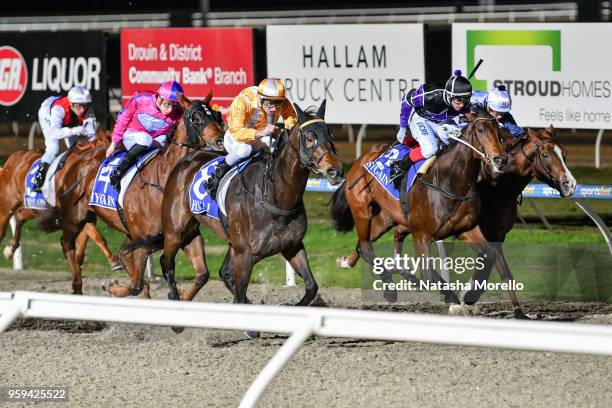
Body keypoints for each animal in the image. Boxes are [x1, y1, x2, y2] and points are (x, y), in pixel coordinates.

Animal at [0, 139, 120, 272]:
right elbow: (96, 237)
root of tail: (13, 158)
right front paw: (114, 261)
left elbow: (86, 241)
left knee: (20, 215)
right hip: (8, 204)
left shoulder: (84, 215)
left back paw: (11, 248)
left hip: (35, 207)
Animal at [40, 92, 227, 296]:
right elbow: (137, 284)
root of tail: (75, 158)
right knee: (66, 243)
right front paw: (111, 286)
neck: (164, 181)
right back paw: (76, 284)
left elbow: (202, 275)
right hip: (74, 217)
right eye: (197, 118)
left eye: (216, 115)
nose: (221, 140)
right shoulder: (143, 236)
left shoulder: (183, 235)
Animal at [133, 99, 344, 310]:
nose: (335, 170)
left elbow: (311, 287)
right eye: (309, 138)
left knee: (223, 272)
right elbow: (240, 293)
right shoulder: (245, 255)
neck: (274, 197)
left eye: (330, 134)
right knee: (166, 262)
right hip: (176, 230)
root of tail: (184, 161)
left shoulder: (292, 246)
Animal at [330, 107, 506, 304]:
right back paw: (390, 288)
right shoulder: (421, 234)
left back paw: (347, 262)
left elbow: (489, 254)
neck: (450, 182)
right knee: (367, 248)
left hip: (385, 218)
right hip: (362, 211)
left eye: (499, 132)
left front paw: (470, 293)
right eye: (480, 130)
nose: (500, 160)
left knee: (364, 244)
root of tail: (362, 159)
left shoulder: (465, 229)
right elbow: (427, 276)